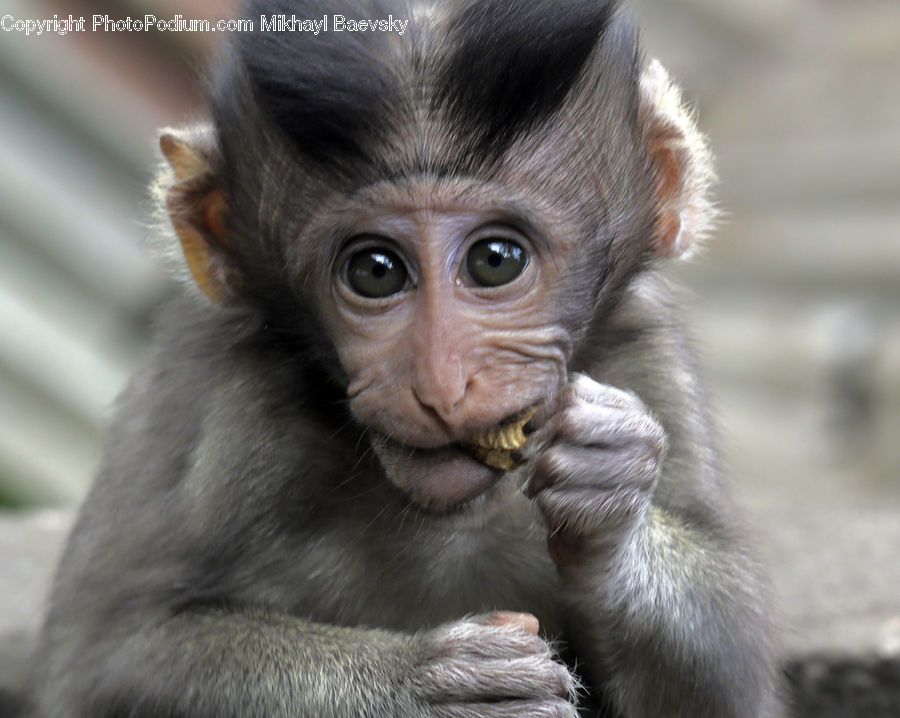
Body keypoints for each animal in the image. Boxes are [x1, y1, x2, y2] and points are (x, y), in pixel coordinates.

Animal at [26, 1, 781, 716]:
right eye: (375, 271)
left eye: (495, 259)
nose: (441, 386)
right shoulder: (232, 405)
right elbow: (116, 658)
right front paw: (428, 688)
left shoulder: (649, 355)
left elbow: (730, 693)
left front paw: (610, 486)